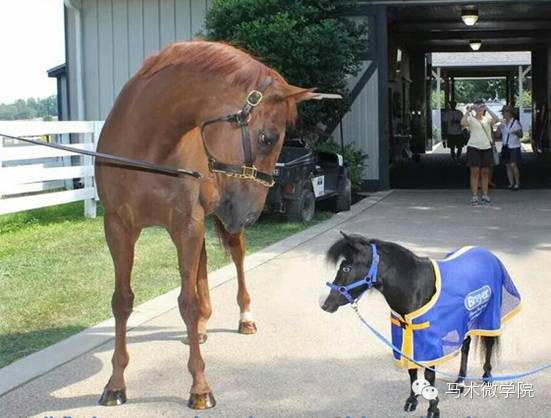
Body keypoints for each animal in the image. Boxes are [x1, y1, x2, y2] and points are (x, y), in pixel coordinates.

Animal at [95, 41, 314, 408]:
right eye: (268, 138)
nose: (251, 214)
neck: (146, 150)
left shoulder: (187, 225)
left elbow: (187, 301)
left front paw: (199, 388)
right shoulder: (118, 228)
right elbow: (122, 301)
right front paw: (115, 383)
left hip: (215, 224)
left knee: (237, 258)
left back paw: (245, 318)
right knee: (202, 267)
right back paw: (199, 330)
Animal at [322, 232, 520, 418]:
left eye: (346, 267)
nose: (326, 305)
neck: (415, 287)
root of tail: (488, 254)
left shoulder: (429, 341)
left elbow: (429, 375)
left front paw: (433, 409)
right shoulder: (407, 335)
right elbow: (411, 371)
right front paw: (412, 400)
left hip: (488, 317)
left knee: (488, 343)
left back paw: (486, 377)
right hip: (466, 320)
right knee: (466, 346)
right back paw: (460, 382)